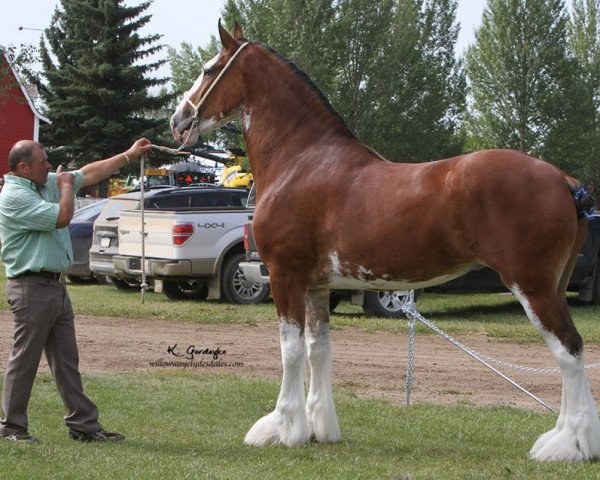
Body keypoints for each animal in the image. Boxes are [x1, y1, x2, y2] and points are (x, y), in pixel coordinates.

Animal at [170, 21, 600, 462]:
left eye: (208, 69)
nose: (178, 119)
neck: (303, 161)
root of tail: (564, 181)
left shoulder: (286, 277)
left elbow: (291, 351)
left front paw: (283, 428)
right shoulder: (318, 286)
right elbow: (319, 350)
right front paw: (320, 428)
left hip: (533, 287)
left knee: (568, 350)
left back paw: (568, 444)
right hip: (553, 288)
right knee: (571, 352)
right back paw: (567, 438)